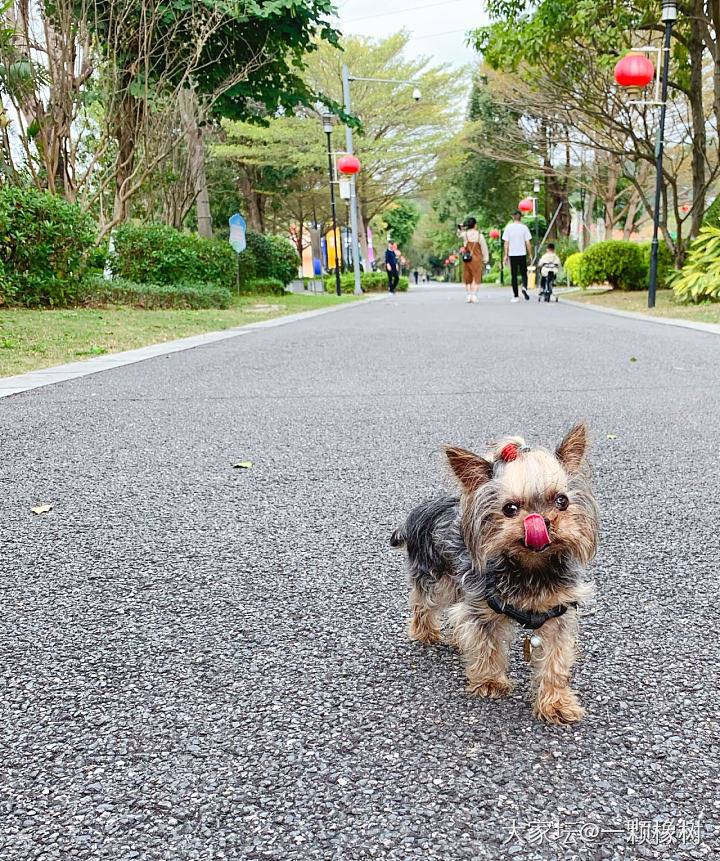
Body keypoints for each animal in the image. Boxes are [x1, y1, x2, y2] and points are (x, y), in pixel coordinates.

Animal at [390, 424, 600, 724]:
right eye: (509, 509)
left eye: (562, 501)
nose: (543, 521)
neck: (532, 566)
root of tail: (419, 511)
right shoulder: (482, 603)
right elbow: (486, 644)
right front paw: (490, 682)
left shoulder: (558, 611)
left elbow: (555, 658)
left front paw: (557, 703)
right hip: (436, 575)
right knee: (425, 602)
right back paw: (426, 633)